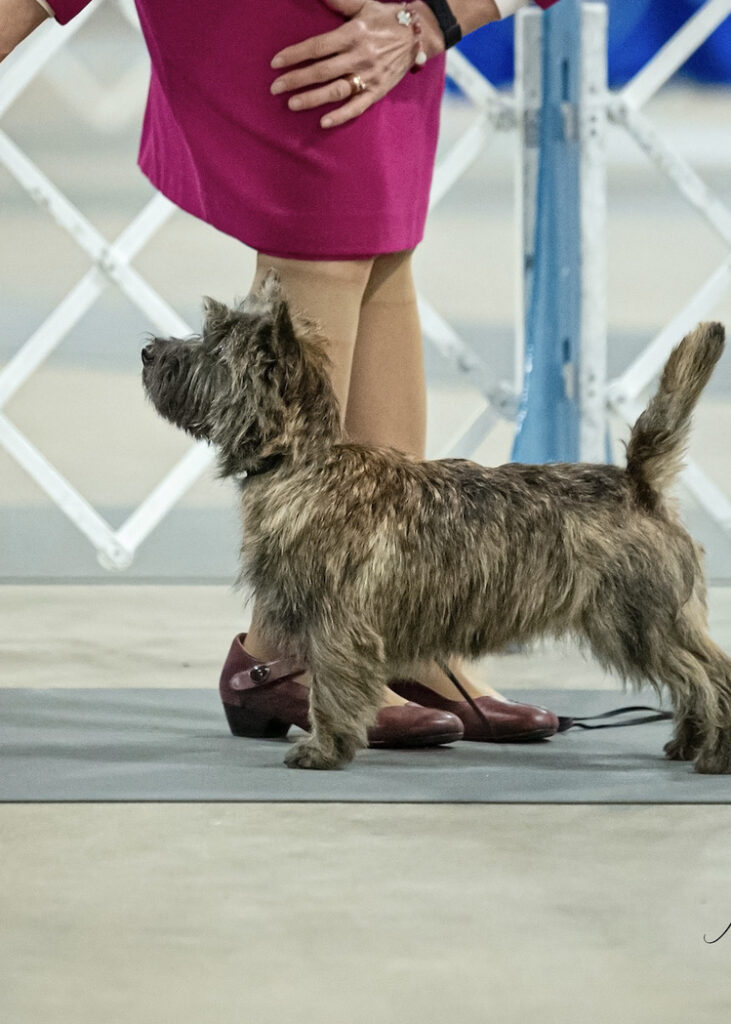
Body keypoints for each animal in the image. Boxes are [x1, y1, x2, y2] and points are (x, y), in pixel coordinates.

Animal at [141, 272, 728, 774]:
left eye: (213, 348)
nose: (148, 351)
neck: (303, 462)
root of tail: (640, 483)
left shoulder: (336, 621)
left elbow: (329, 687)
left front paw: (324, 749)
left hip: (639, 621)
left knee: (710, 675)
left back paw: (714, 754)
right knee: (696, 678)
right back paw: (687, 743)